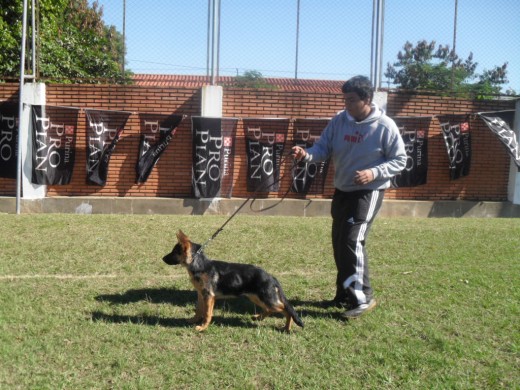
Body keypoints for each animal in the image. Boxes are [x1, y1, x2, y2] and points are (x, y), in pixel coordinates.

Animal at [164, 230, 304, 334]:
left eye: (174, 252)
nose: (162, 258)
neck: (199, 265)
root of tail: (271, 277)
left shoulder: (209, 297)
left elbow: (207, 313)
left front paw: (203, 327)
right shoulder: (200, 295)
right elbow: (199, 310)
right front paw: (193, 320)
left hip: (267, 299)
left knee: (287, 310)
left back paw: (286, 327)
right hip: (256, 298)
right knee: (271, 310)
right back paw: (258, 317)